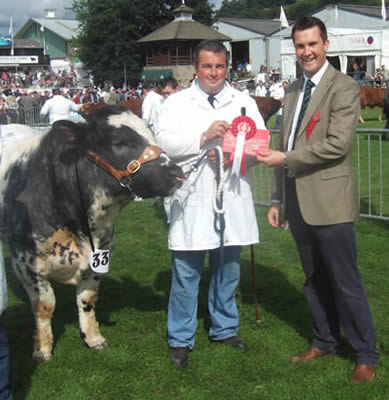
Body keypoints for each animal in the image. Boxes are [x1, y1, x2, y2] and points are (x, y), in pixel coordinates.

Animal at [0, 105, 185, 360]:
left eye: (151, 133)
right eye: (119, 142)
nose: (177, 173)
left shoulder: (100, 258)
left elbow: (87, 299)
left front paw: (93, 337)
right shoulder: (26, 263)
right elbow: (45, 305)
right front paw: (43, 349)